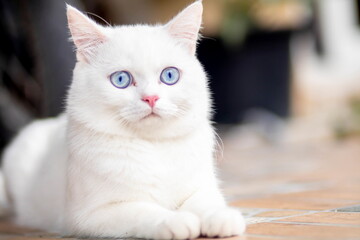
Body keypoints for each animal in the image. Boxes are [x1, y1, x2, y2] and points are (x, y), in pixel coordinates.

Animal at [0, 1, 246, 238]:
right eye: (121, 79)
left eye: (169, 75)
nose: (151, 98)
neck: (155, 148)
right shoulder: (93, 214)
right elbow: (143, 211)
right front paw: (175, 221)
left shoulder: (201, 188)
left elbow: (206, 202)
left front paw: (221, 217)